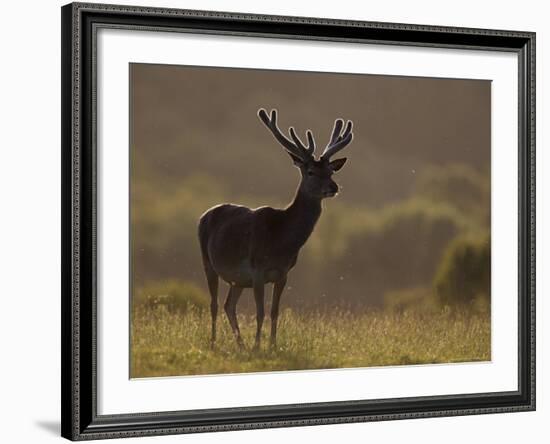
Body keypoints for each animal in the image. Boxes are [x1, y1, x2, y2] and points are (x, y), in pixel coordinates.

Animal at [201, 107, 356, 350]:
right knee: (214, 304)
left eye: (331, 171)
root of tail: (205, 214)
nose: (333, 187)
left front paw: (272, 346)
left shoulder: (283, 273)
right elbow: (260, 312)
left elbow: (275, 312)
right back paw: (215, 342)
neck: (281, 242)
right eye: (311, 172)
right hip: (208, 262)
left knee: (228, 305)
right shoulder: (257, 270)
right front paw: (258, 346)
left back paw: (240, 344)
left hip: (238, 279)